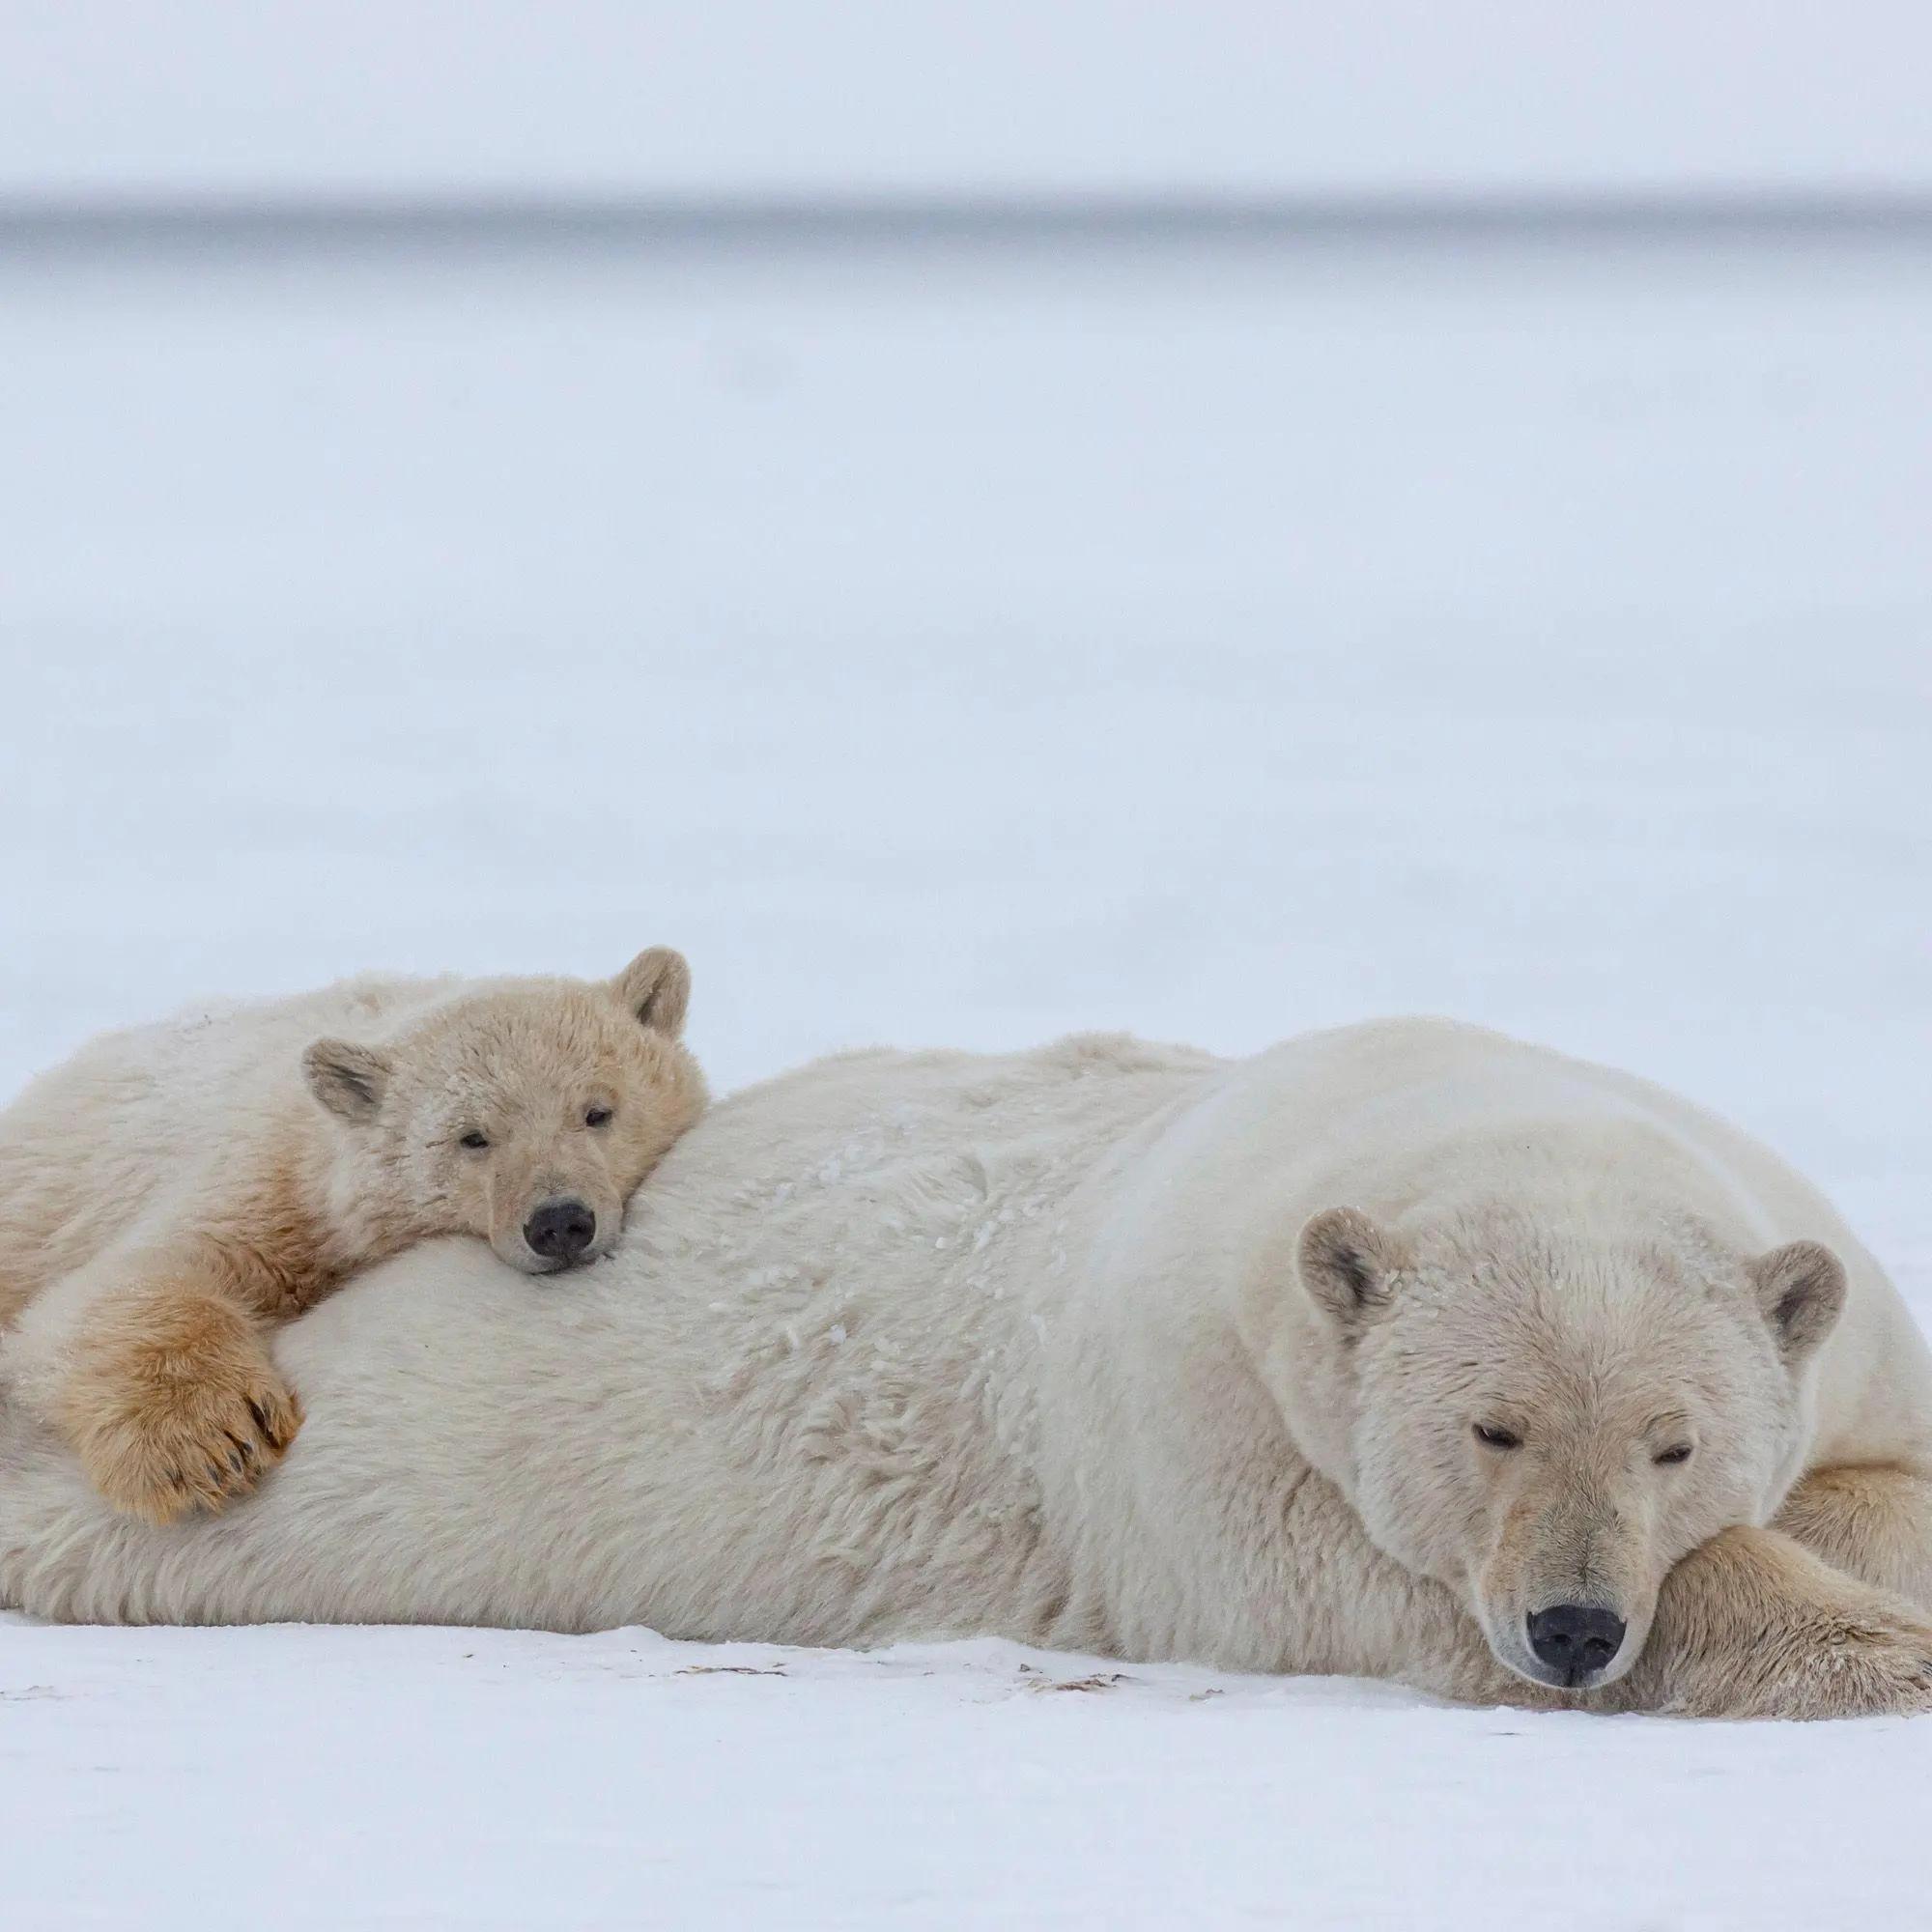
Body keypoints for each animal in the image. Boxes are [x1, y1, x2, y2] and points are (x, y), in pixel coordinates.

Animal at [0, 947, 706, 1525]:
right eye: (472, 1137)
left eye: (598, 1111)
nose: (559, 1222)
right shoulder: (275, 1188)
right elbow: (121, 1281)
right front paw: (217, 1443)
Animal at [2, 1017, 1930, 1720]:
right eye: (1493, 1428)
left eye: (1675, 1442)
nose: (1577, 1625)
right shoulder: (1199, 1427)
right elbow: (1370, 1591)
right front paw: (1872, 1651)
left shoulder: (1844, 1330)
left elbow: (1879, 1473)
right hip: (395, 1433)